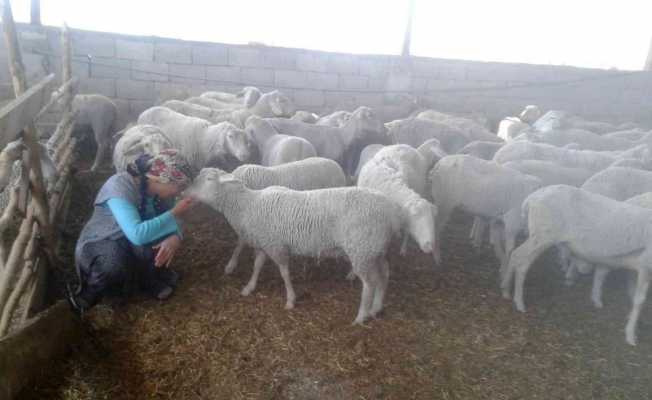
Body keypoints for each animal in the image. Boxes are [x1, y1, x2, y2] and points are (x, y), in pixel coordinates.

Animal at [186, 167, 404, 324]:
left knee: (369, 283)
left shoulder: (276, 246)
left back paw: (361, 316)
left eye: (209, 179)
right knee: (384, 274)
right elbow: (257, 266)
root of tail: (391, 212)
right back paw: (377, 307)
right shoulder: (264, 243)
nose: (187, 191)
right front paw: (249, 287)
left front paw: (290, 300)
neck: (246, 205)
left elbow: (284, 273)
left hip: (361, 248)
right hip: (374, 249)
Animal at [502, 184, 652, 344]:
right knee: (522, 261)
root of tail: (531, 199)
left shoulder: (636, 267)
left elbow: (631, 293)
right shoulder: (646, 265)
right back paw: (519, 302)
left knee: (515, 254)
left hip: (539, 236)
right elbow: (639, 300)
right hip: (543, 236)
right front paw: (630, 335)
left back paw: (505, 290)